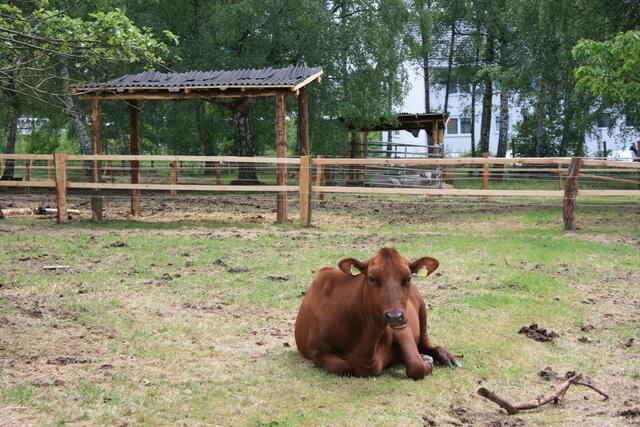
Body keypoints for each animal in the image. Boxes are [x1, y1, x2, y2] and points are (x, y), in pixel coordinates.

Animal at [295, 247, 458, 380]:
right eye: (371, 278)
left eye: (408, 278)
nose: (394, 316)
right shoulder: (316, 349)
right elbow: (344, 367)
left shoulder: (402, 328)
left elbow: (416, 366)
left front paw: (426, 361)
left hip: (421, 311)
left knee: (426, 343)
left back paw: (447, 357)